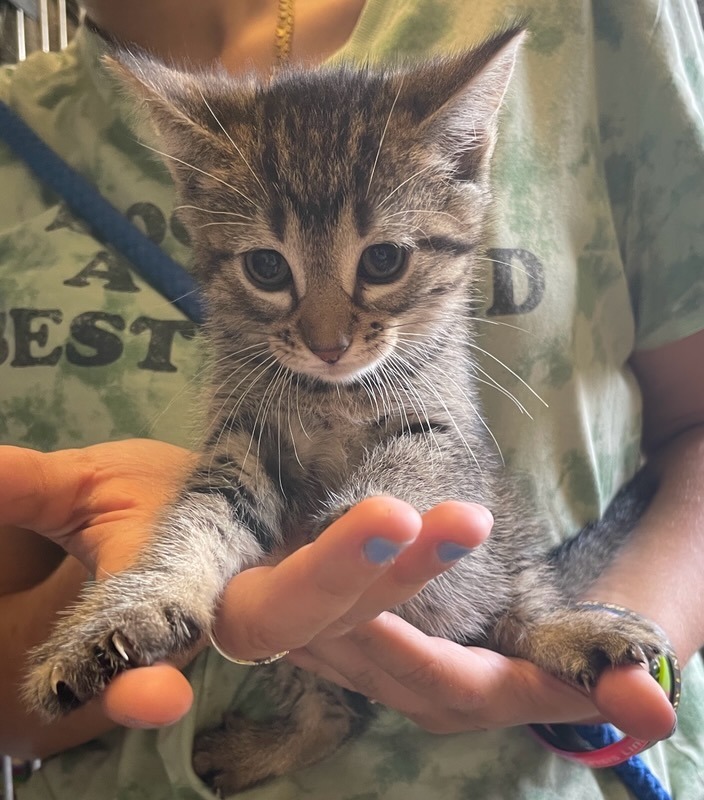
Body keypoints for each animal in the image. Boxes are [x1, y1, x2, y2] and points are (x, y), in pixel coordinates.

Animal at [26, 26, 664, 792]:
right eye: (267, 268)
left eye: (383, 261)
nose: (327, 344)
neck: (330, 395)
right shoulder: (240, 437)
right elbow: (201, 521)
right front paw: (132, 610)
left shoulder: (447, 431)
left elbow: (413, 461)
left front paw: (355, 514)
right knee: (338, 719)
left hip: (504, 545)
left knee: (517, 605)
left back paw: (568, 628)